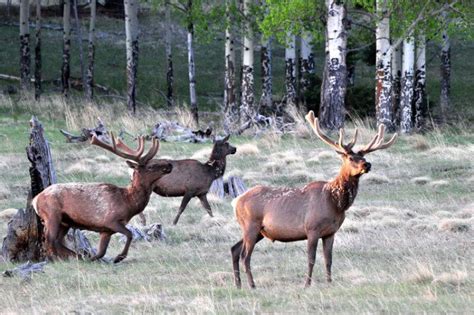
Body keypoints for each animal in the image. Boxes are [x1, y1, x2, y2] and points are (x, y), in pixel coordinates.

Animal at [33, 135, 174, 262]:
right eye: (151, 166)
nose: (169, 164)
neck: (128, 203)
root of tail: (35, 200)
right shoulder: (110, 220)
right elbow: (129, 234)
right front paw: (118, 257)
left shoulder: (106, 230)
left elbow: (102, 252)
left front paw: (95, 258)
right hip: (52, 214)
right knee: (49, 239)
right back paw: (60, 258)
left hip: (65, 222)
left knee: (57, 241)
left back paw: (78, 256)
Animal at [231, 111, 398, 288]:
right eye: (350, 157)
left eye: (363, 157)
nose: (367, 165)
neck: (335, 203)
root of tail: (236, 201)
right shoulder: (312, 228)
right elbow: (311, 259)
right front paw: (307, 284)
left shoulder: (330, 232)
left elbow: (328, 259)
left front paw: (330, 282)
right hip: (251, 224)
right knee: (245, 256)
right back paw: (252, 285)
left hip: (258, 230)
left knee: (234, 249)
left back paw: (238, 284)